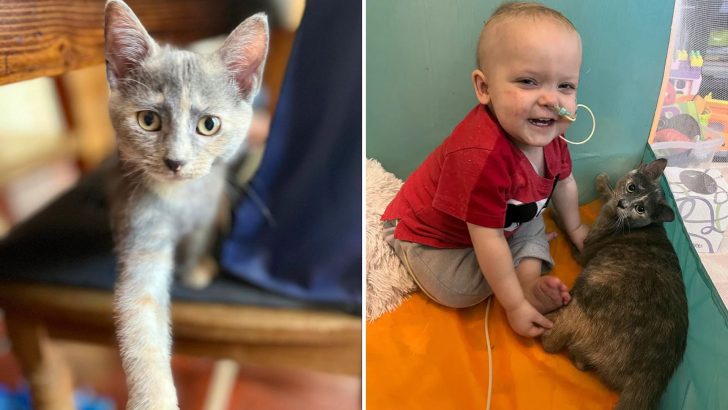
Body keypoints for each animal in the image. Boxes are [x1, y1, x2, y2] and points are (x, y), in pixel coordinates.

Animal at [104, 1, 268, 408]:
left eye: (209, 124)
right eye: (148, 120)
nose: (175, 161)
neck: (182, 202)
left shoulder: (206, 209)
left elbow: (199, 238)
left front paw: (195, 267)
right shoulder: (141, 233)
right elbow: (141, 319)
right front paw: (154, 396)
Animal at [544, 159, 692, 410]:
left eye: (641, 209)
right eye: (632, 188)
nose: (624, 203)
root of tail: (652, 377)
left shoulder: (583, 252)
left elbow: (568, 229)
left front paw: (555, 213)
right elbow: (609, 191)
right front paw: (603, 182)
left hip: (582, 300)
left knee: (550, 342)